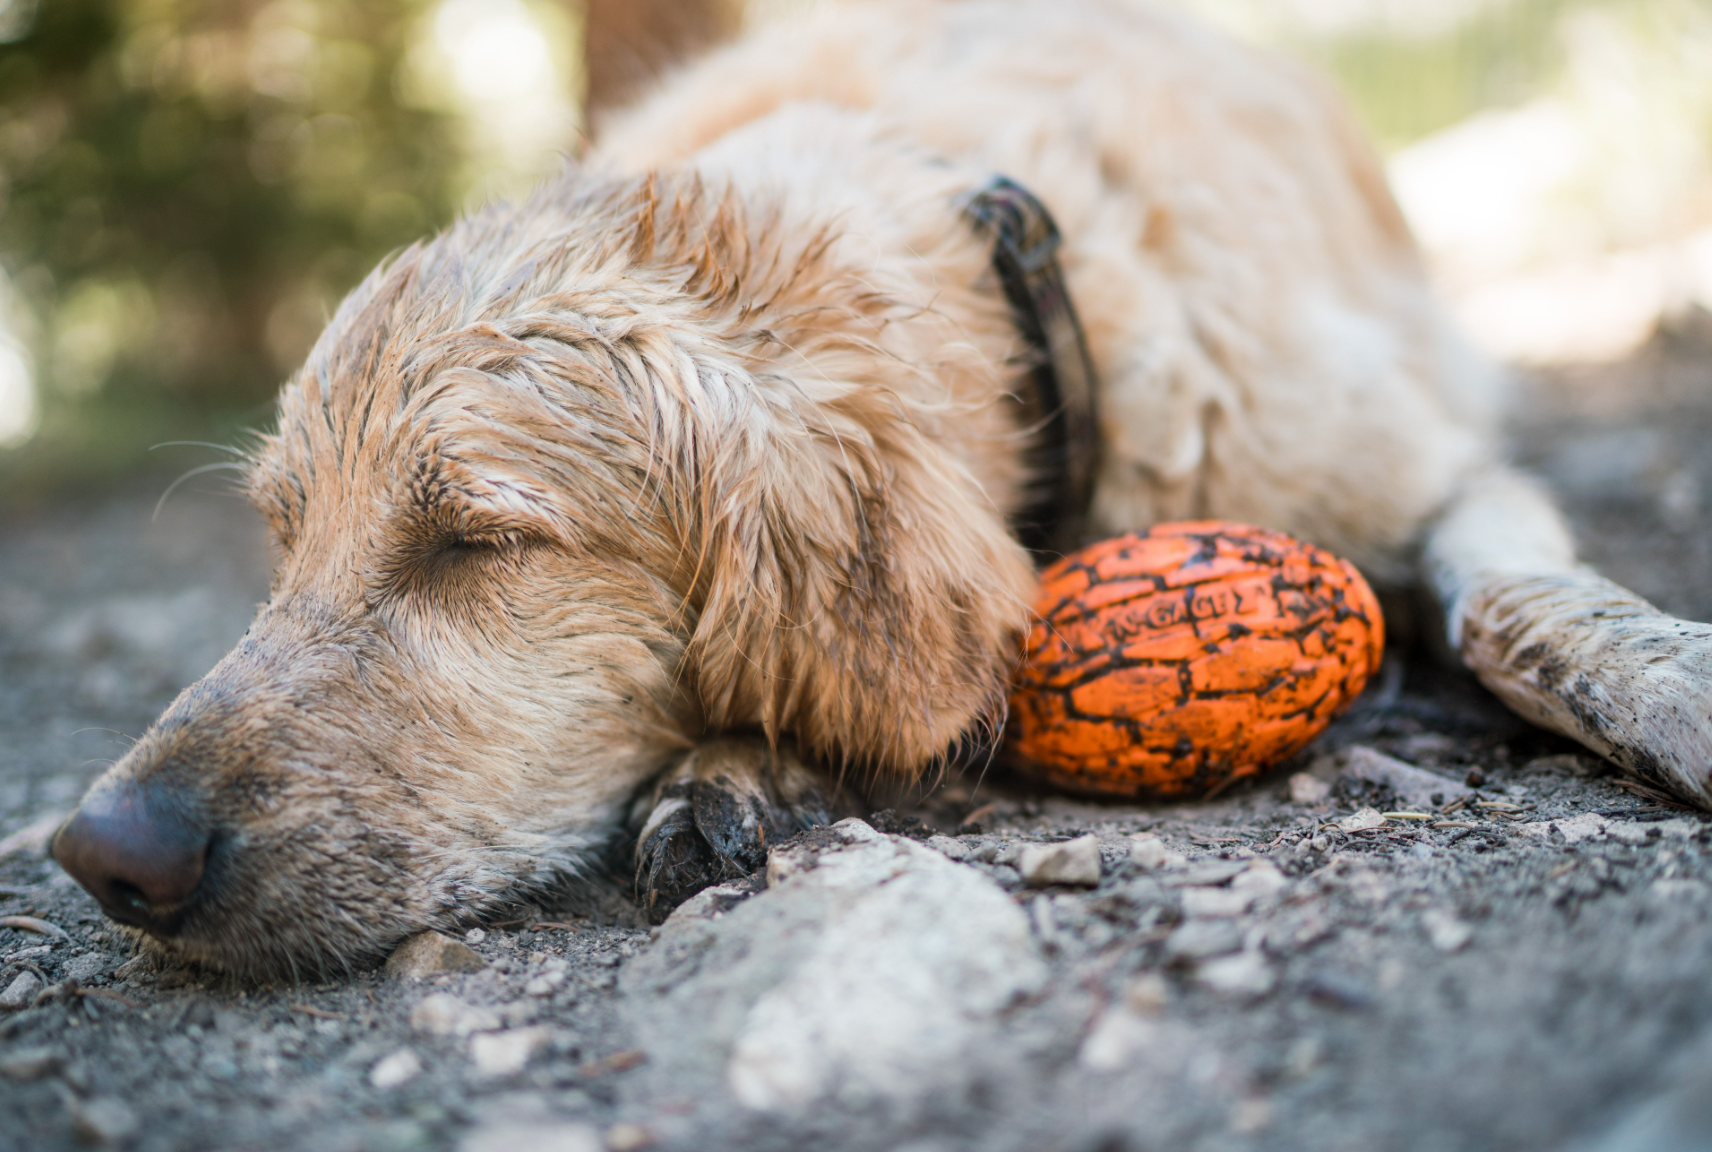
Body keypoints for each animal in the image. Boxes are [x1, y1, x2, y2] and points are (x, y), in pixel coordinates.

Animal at [50, 0, 1712, 979]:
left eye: (475, 541)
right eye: (280, 540)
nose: (100, 854)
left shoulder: (1437, 463)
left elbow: (1519, 605)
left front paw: (1673, 686)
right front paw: (734, 766)